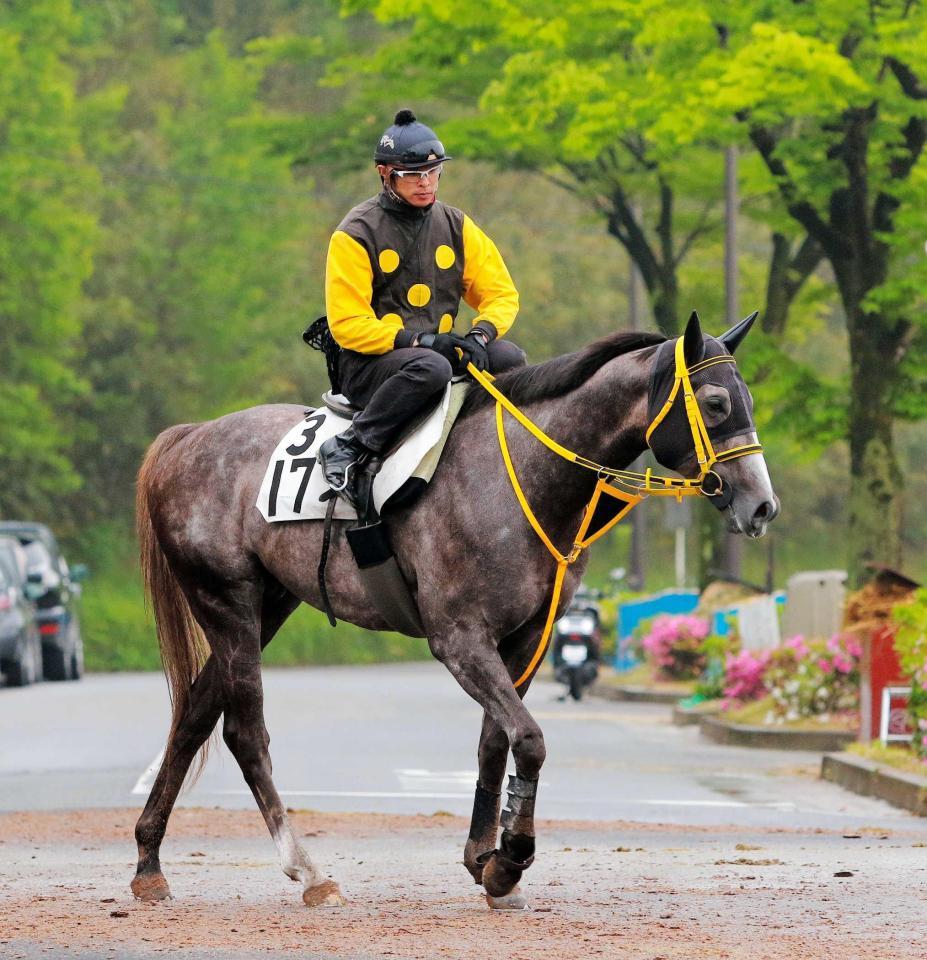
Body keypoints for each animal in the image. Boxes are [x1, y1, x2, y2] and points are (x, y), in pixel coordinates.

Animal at [130, 314, 780, 908]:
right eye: (717, 402)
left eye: (748, 399)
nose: (761, 505)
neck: (520, 476)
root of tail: (188, 437)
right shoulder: (460, 639)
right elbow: (530, 738)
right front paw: (509, 859)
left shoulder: (523, 639)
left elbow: (498, 740)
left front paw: (483, 856)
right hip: (229, 601)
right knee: (243, 732)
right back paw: (307, 871)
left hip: (269, 605)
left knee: (194, 714)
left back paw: (149, 861)